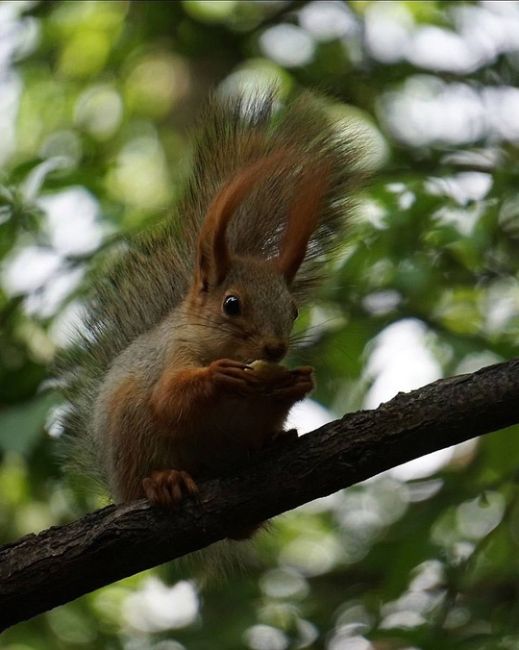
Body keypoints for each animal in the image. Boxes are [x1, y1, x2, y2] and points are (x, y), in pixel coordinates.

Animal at [55, 92, 358, 516]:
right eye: (231, 304)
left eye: (294, 310)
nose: (275, 349)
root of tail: (116, 487)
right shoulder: (173, 353)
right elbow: (168, 400)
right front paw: (218, 375)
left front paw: (298, 382)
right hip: (130, 432)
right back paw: (162, 481)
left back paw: (274, 442)